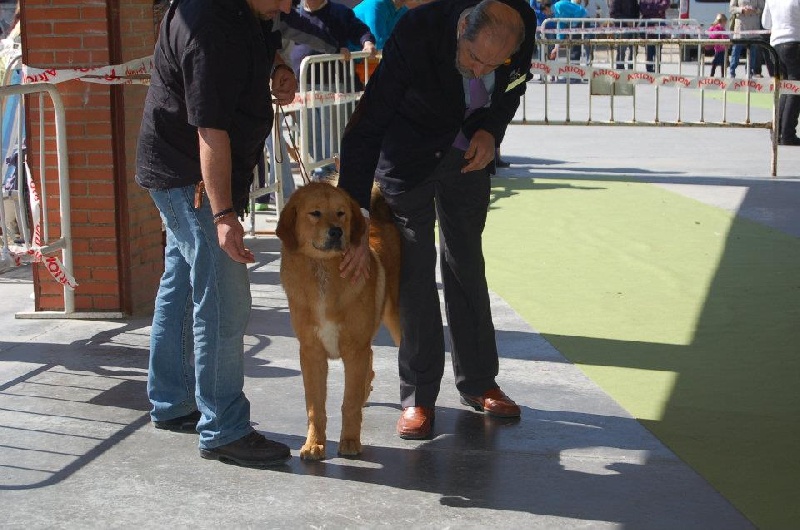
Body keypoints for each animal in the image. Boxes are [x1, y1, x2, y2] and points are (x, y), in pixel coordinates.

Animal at [275, 181, 401, 460]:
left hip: (398, 323)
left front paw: (350, 441)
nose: (336, 231)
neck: (323, 272)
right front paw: (314, 444)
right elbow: (315, 407)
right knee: (371, 365)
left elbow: (349, 403)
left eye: (341, 213)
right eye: (315, 213)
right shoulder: (311, 352)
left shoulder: (355, 350)